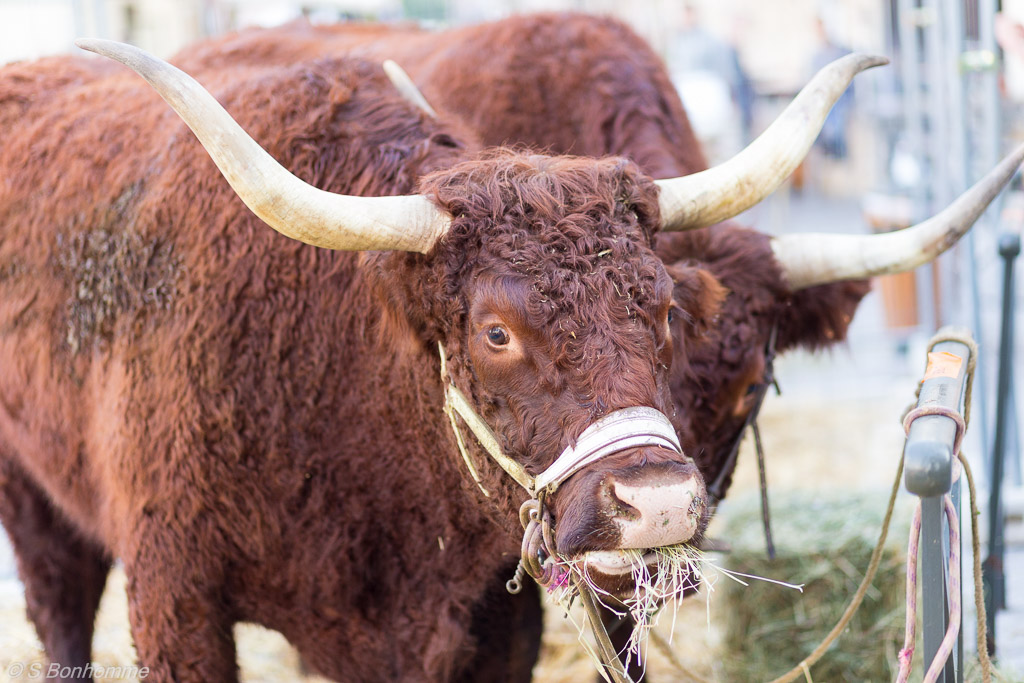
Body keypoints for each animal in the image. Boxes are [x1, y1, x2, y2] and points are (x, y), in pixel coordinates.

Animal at [0, 21, 1019, 683]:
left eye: (664, 312)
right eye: (496, 331)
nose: (657, 505)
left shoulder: (496, 616)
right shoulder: (175, 601)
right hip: (38, 508)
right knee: (60, 608)